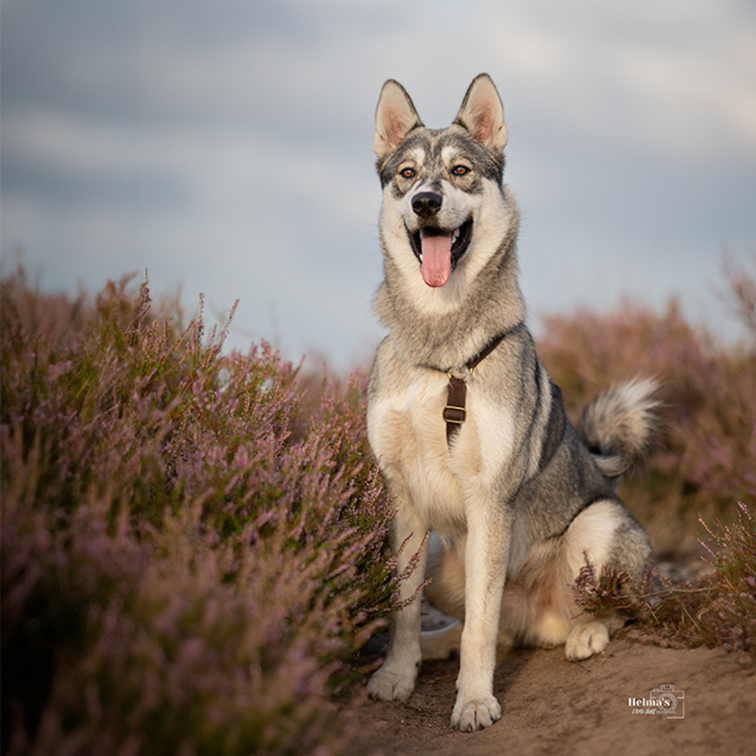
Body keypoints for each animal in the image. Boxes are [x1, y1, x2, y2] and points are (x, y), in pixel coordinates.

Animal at [364, 75, 656, 732]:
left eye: (461, 170)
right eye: (407, 174)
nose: (425, 202)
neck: (443, 348)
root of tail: (537, 618)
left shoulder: (490, 498)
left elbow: (481, 629)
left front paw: (474, 702)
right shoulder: (405, 497)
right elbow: (403, 608)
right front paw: (397, 675)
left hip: (595, 530)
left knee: (615, 612)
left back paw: (587, 634)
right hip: (445, 556)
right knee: (487, 624)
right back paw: (437, 646)